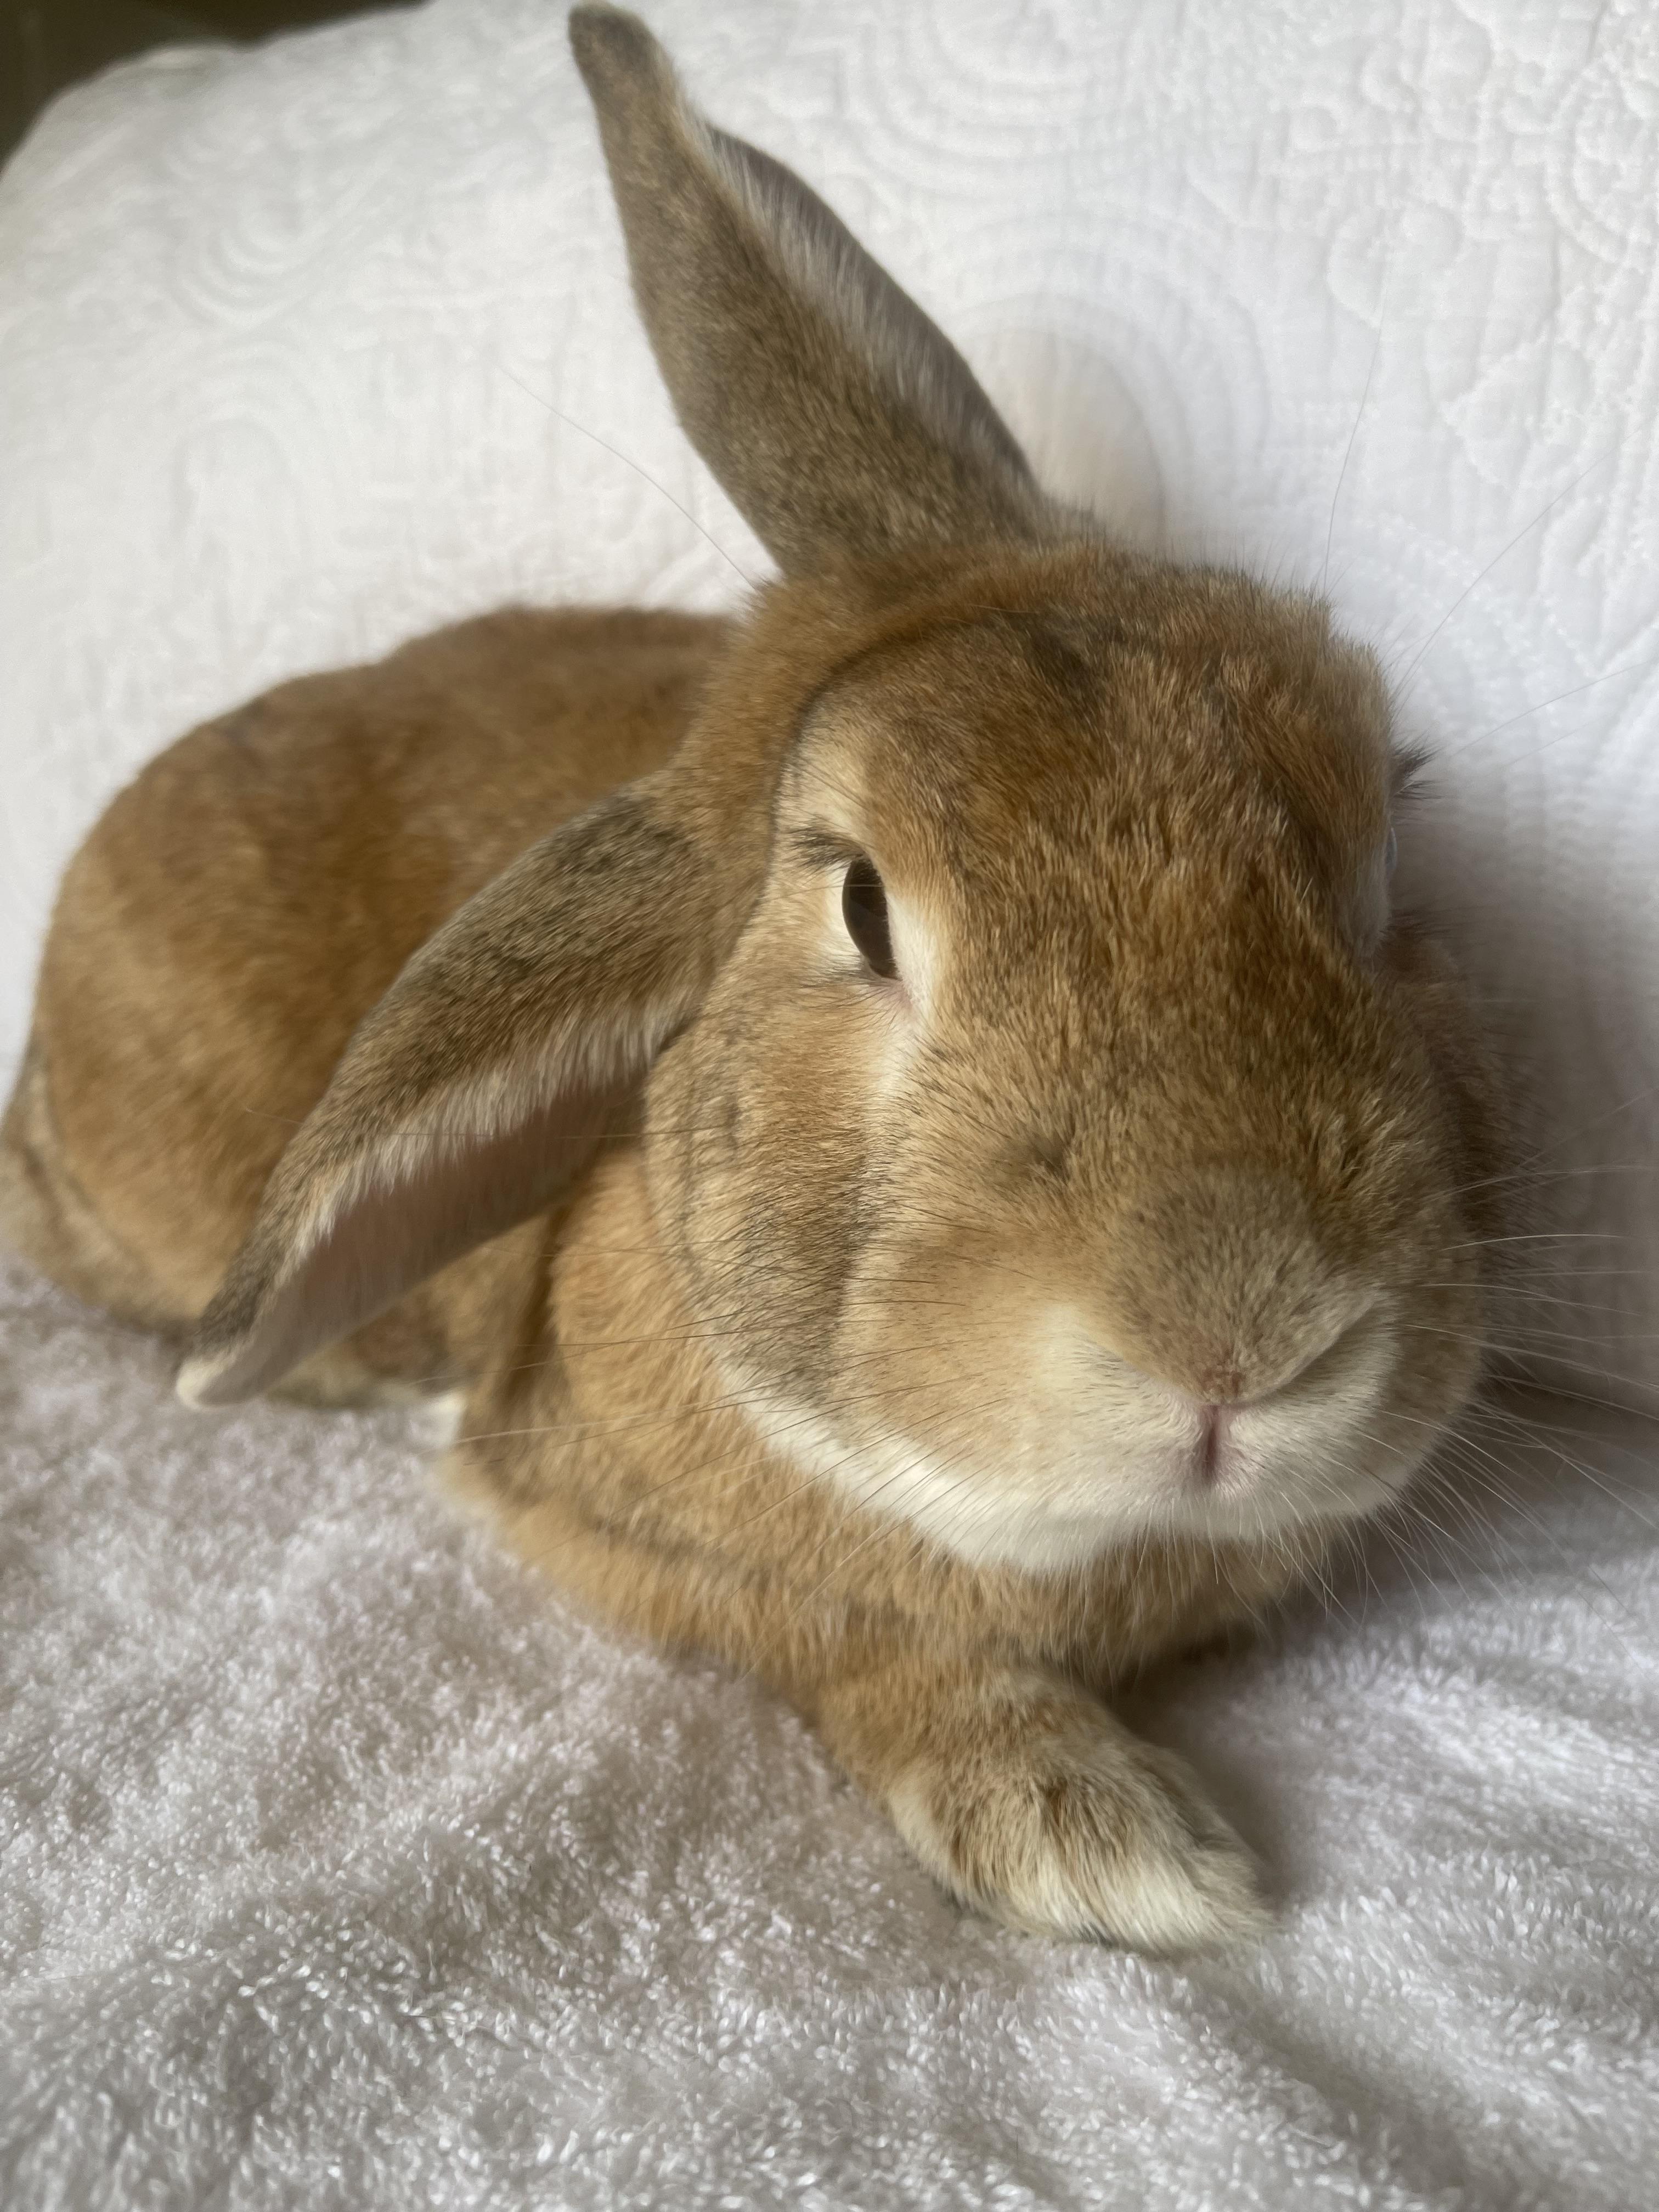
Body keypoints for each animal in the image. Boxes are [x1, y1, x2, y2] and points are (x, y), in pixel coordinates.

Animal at [0, 2, 1508, 1950]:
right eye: (862, 911)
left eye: (1386, 825)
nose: (1243, 1334)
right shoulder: (612, 1529)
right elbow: (842, 1633)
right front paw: (1107, 1840)